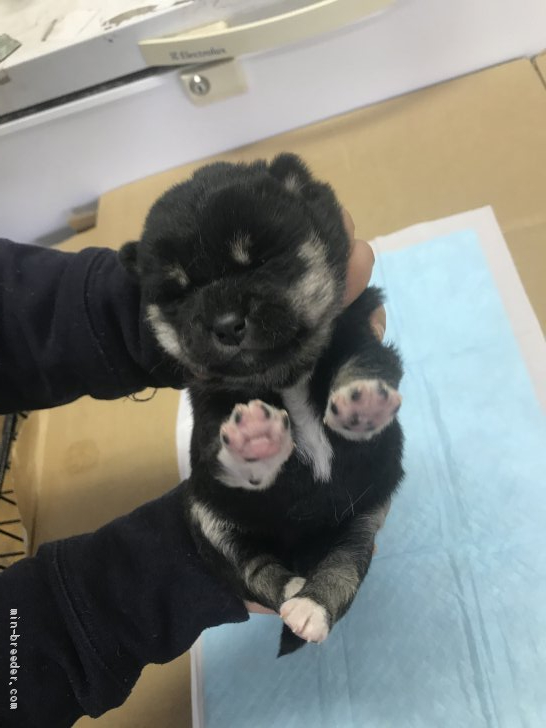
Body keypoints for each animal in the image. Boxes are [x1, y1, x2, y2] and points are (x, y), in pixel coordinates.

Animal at [120, 154, 404, 655]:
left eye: (262, 260)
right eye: (178, 293)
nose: (226, 323)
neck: (284, 374)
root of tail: (301, 552)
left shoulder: (356, 325)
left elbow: (364, 360)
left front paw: (364, 403)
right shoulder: (210, 408)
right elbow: (222, 447)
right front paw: (254, 438)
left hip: (364, 519)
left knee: (342, 567)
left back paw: (312, 607)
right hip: (208, 519)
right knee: (254, 570)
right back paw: (293, 591)